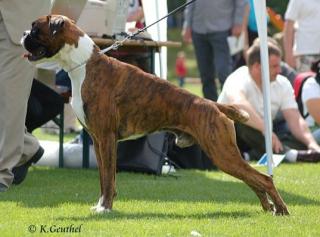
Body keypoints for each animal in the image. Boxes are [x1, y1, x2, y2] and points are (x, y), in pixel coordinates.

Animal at [21, 14, 288, 215]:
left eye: (35, 29)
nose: (23, 34)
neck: (84, 65)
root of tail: (213, 106)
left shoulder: (106, 139)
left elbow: (108, 178)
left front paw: (105, 208)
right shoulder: (97, 141)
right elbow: (105, 177)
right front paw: (101, 205)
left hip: (222, 153)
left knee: (264, 179)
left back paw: (281, 210)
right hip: (225, 155)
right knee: (254, 181)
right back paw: (268, 209)